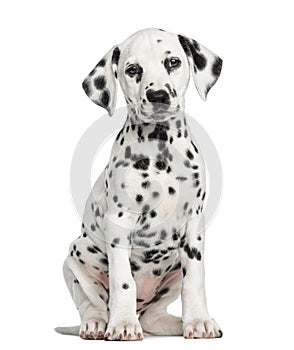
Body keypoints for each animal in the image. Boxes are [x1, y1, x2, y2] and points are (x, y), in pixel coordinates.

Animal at [55, 28, 223, 340]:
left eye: (172, 62)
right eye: (133, 70)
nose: (158, 96)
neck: (161, 148)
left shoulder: (194, 223)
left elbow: (195, 278)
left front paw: (198, 321)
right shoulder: (119, 222)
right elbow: (123, 282)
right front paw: (122, 324)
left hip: (171, 273)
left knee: (154, 317)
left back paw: (176, 324)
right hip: (76, 259)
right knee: (92, 304)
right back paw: (97, 324)